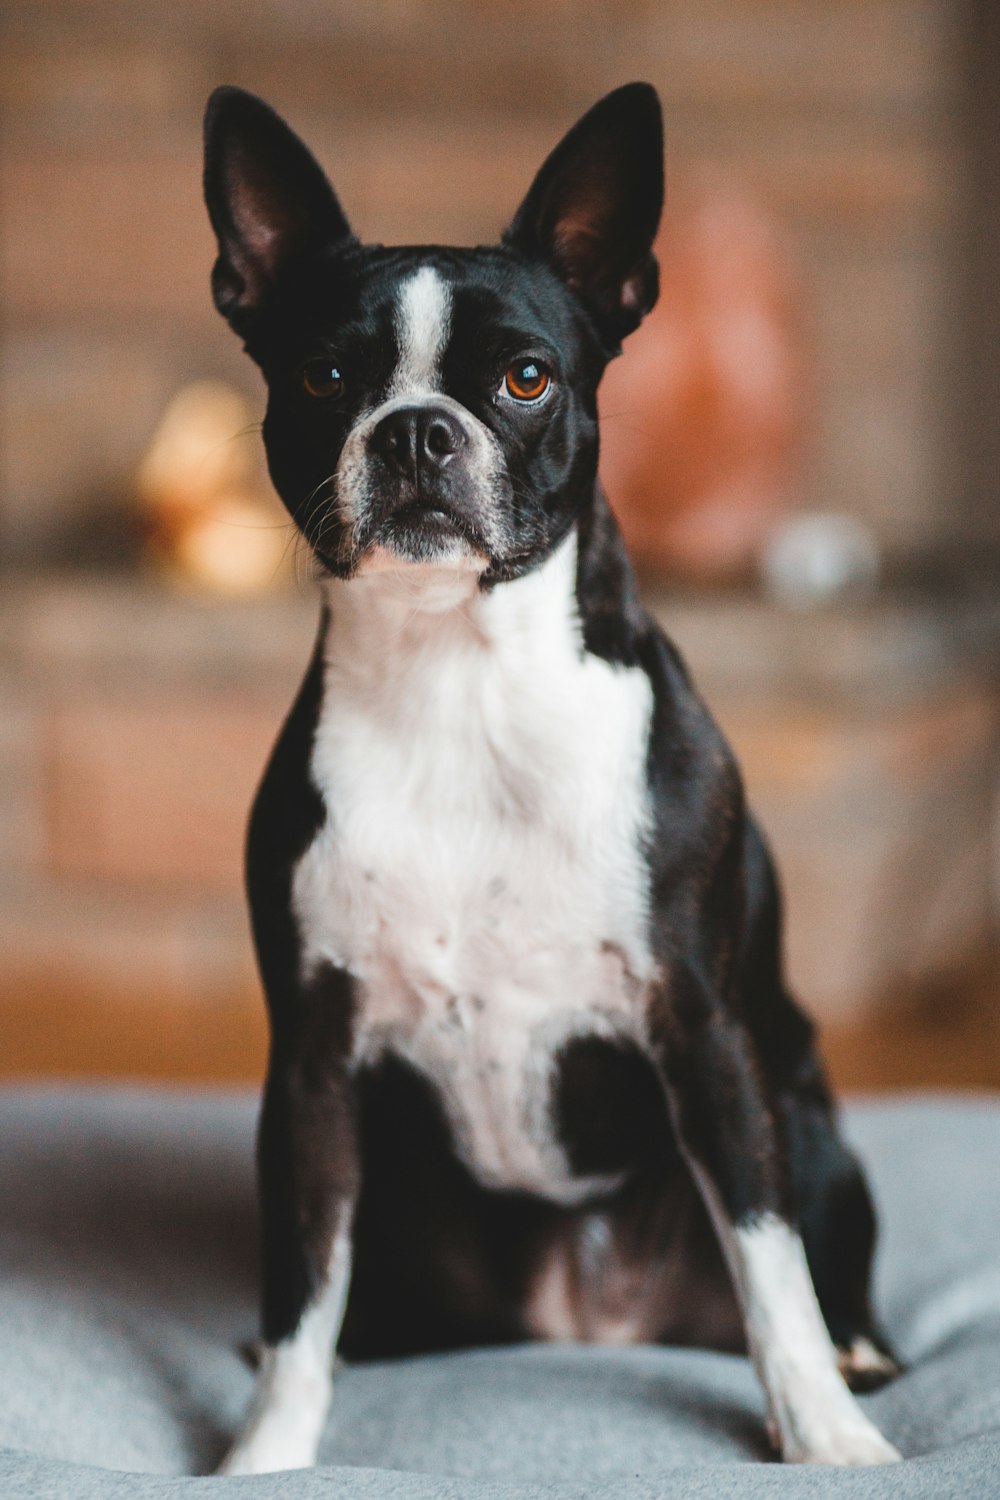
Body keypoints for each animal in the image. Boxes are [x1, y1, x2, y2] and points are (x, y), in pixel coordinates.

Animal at [200, 82, 899, 1476]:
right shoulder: (309, 1069)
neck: (461, 682)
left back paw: (859, 1358)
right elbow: (300, 1288)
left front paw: (826, 1439)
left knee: (814, 1257)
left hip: (806, 1119)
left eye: (525, 378)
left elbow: (770, 1272)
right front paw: (267, 1456)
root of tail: (587, 1321)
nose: (417, 428)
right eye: (326, 374)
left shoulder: (707, 1037)